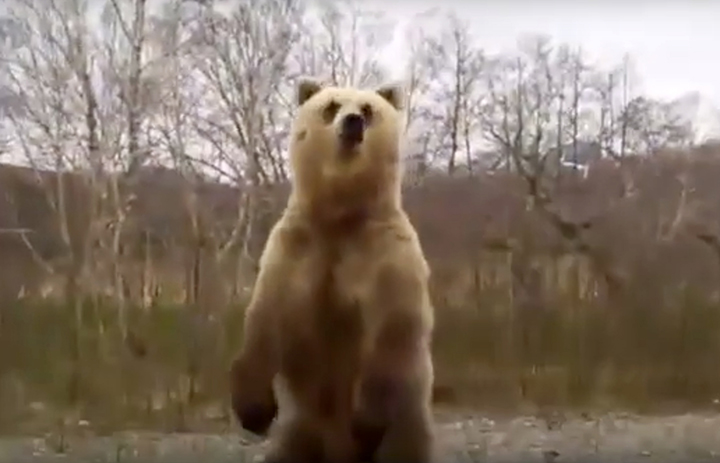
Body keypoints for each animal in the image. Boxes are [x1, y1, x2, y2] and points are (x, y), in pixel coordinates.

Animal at [228, 80, 436, 463]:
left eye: (368, 109)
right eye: (332, 105)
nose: (353, 122)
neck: (340, 216)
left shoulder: (386, 254)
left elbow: (395, 324)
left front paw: (367, 421)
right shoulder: (295, 250)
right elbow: (265, 317)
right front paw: (254, 410)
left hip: (407, 426)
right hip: (300, 430)